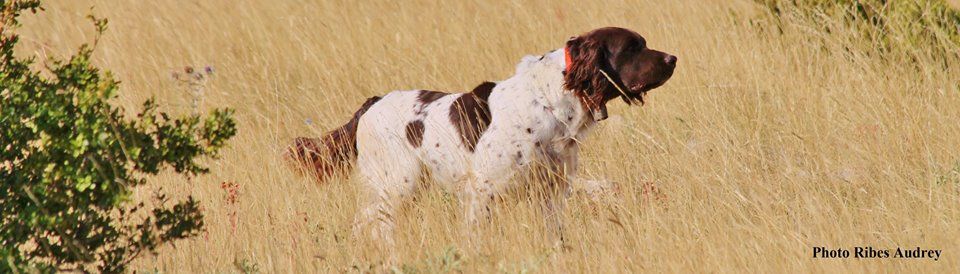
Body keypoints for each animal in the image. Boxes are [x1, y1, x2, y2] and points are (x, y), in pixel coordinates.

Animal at [284, 26, 676, 252]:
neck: (552, 101)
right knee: (371, 223)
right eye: (633, 47)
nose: (673, 57)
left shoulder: (551, 192)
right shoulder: (483, 190)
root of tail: (372, 104)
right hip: (398, 184)